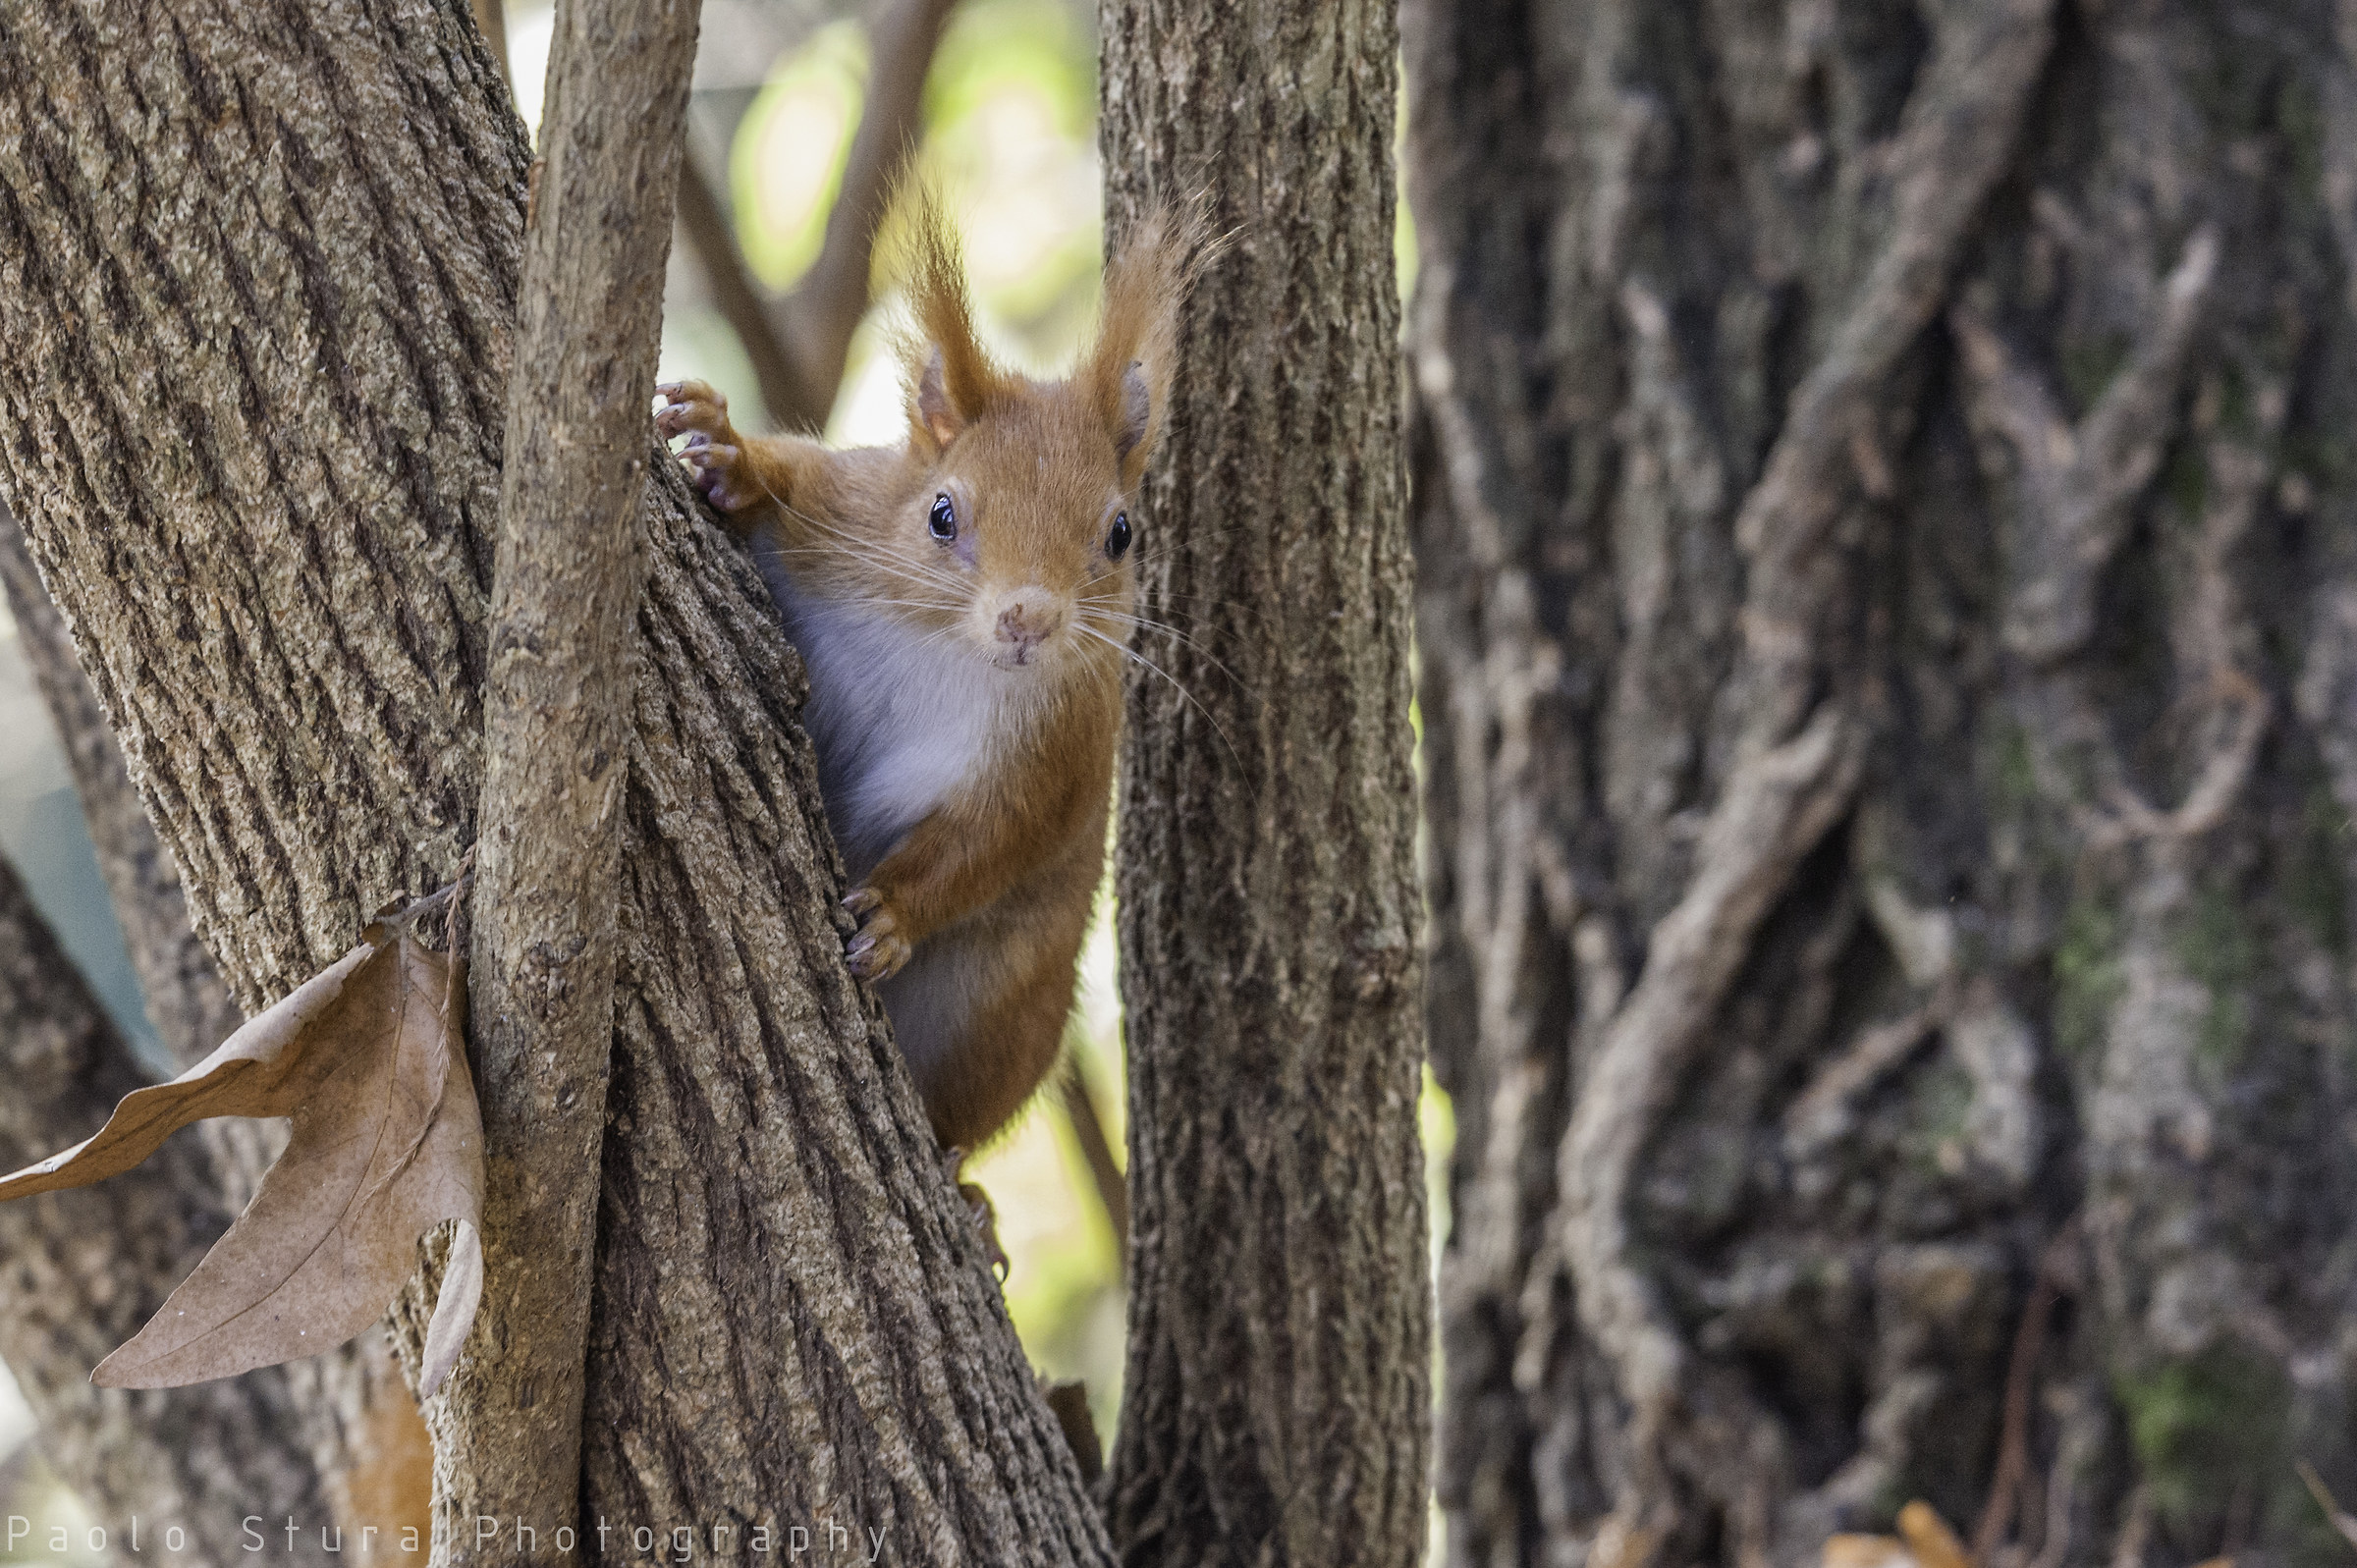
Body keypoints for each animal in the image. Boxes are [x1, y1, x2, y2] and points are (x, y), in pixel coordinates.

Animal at [660, 198, 1197, 1150]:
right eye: (942, 513)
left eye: (1121, 533)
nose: (1029, 617)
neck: (944, 646)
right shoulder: (847, 510)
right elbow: (790, 477)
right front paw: (729, 452)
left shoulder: (1062, 748)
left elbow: (991, 841)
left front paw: (891, 915)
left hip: (996, 1020)